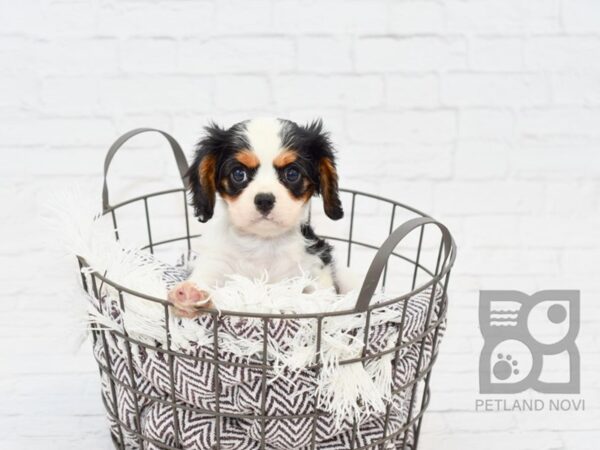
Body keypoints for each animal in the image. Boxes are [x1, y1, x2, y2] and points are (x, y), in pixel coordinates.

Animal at [169, 118, 346, 318]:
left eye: (292, 174)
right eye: (239, 174)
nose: (264, 200)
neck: (262, 244)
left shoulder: (315, 269)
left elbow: (316, 298)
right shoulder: (216, 264)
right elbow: (204, 278)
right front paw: (190, 294)